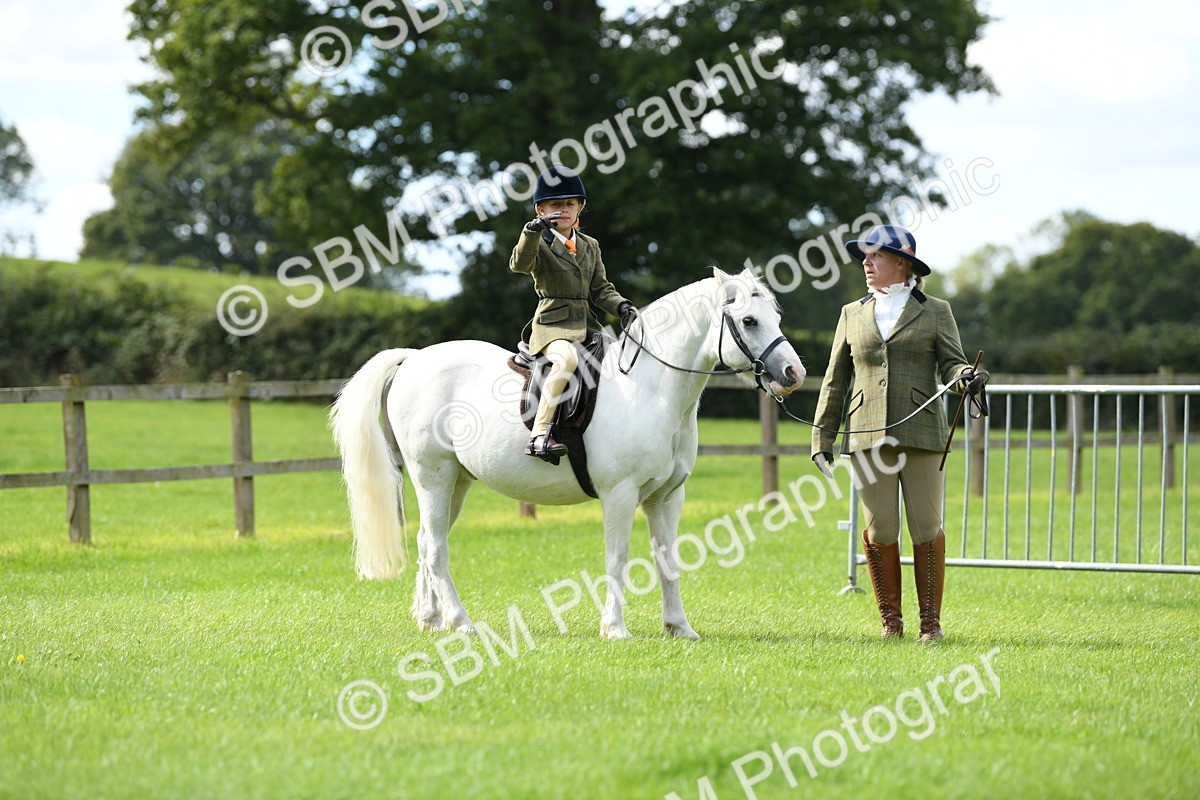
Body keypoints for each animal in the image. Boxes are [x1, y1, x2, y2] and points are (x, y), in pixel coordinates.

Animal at [329, 267, 806, 639]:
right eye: (749, 320)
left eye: (776, 317)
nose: (793, 373)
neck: (647, 388)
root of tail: (413, 359)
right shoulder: (620, 495)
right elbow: (618, 558)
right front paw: (615, 628)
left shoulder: (666, 496)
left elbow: (667, 559)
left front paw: (679, 627)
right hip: (433, 477)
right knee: (435, 550)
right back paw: (460, 622)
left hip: (457, 484)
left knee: (430, 540)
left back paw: (431, 618)